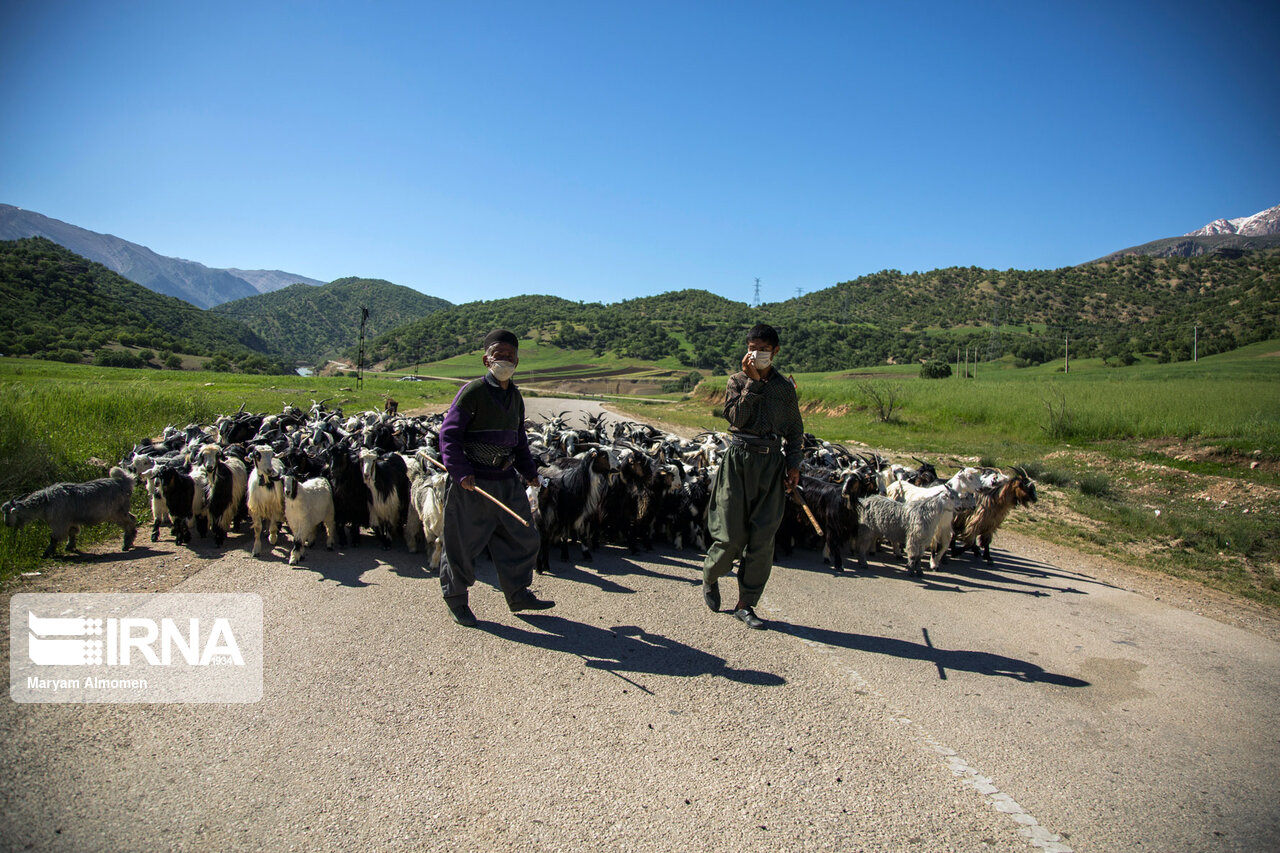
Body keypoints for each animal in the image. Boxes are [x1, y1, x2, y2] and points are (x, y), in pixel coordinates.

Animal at [3, 468, 137, 555]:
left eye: (9, 513)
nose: (7, 524)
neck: (46, 501)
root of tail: (124, 482)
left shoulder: (59, 523)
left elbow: (54, 537)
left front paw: (47, 553)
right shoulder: (71, 520)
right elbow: (72, 532)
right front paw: (69, 547)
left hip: (116, 513)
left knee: (129, 522)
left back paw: (126, 544)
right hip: (121, 511)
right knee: (132, 518)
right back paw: (130, 540)